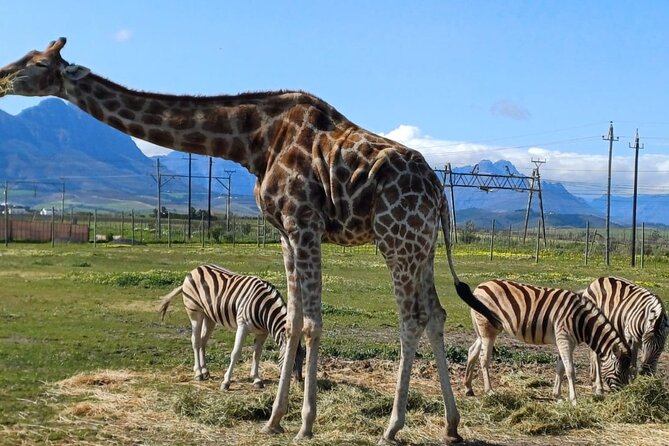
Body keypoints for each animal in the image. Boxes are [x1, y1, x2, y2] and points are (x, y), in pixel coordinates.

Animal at [0, 38, 501, 444]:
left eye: (36, 63)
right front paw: (274, 420)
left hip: (396, 239)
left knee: (412, 318)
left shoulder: (303, 222)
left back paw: (392, 426)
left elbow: (311, 323)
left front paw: (304, 425)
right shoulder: (284, 233)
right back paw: (452, 426)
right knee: (436, 313)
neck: (251, 141)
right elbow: (294, 320)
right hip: (421, 244)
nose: (2, 78)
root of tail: (439, 192)